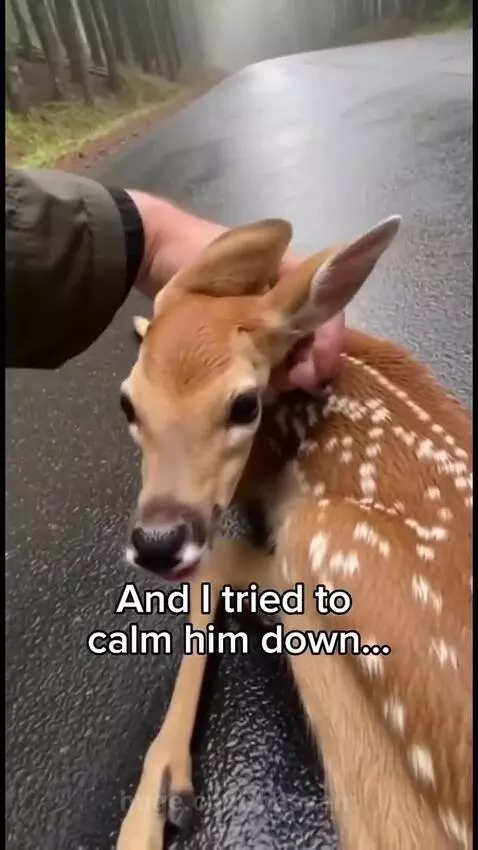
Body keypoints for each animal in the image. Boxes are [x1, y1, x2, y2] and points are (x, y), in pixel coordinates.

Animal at [116, 215, 472, 850]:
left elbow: (215, 568)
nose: (158, 542)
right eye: (128, 404)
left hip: (325, 546)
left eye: (243, 404)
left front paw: (150, 809)